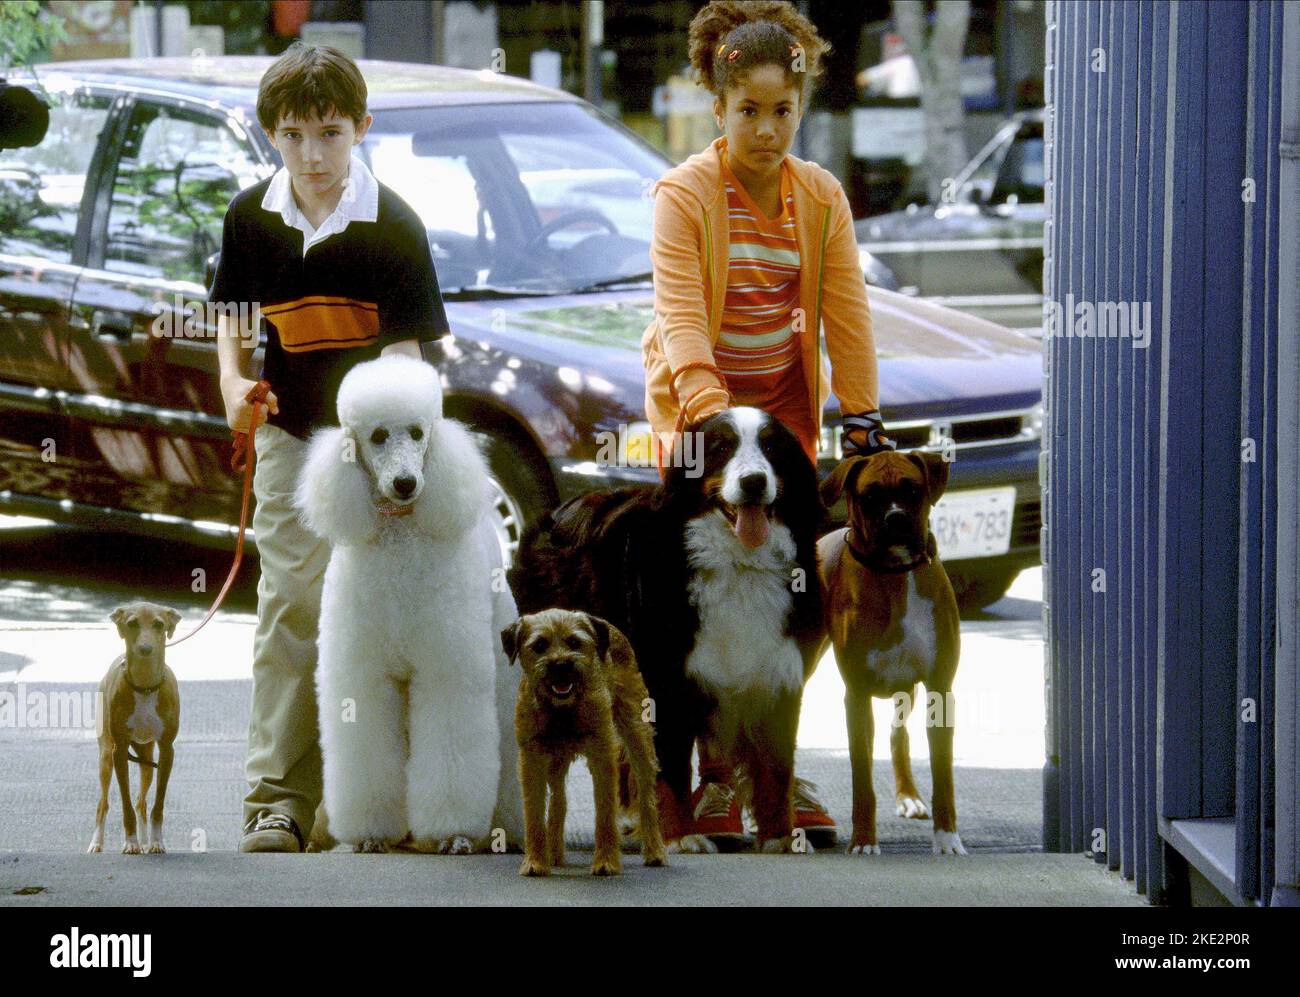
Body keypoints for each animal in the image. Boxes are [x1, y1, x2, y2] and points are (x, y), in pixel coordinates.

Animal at [89, 603, 180, 852]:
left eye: (159, 624)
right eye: (131, 623)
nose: (145, 648)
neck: (145, 687)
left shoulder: (167, 750)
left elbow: (157, 805)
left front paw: (156, 841)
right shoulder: (119, 751)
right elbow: (125, 805)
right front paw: (130, 842)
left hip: (147, 759)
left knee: (141, 802)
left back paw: (146, 840)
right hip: (105, 757)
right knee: (103, 803)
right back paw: (97, 843)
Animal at [499, 608, 665, 873]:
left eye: (575, 642)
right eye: (539, 645)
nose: (560, 664)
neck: (562, 709)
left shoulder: (602, 756)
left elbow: (605, 812)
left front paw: (606, 862)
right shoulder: (532, 759)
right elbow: (534, 812)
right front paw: (535, 862)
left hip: (637, 737)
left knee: (646, 796)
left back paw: (655, 851)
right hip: (556, 761)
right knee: (559, 800)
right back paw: (554, 854)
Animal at [506, 405, 821, 852]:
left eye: (773, 447)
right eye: (721, 447)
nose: (755, 482)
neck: (738, 564)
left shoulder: (778, 670)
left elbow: (776, 767)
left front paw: (779, 837)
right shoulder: (665, 679)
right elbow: (669, 766)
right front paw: (679, 836)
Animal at [821, 452, 967, 857]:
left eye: (913, 490)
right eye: (870, 496)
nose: (896, 517)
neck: (895, 575)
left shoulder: (939, 689)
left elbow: (944, 776)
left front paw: (947, 838)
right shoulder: (856, 696)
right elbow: (862, 782)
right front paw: (863, 841)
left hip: (908, 690)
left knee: (897, 735)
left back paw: (909, 796)